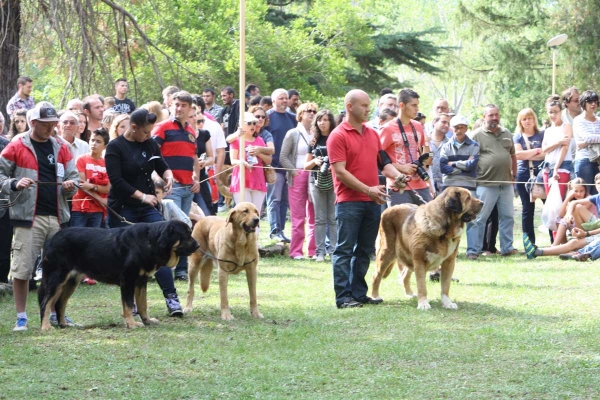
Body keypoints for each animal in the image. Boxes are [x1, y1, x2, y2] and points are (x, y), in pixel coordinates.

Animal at [38, 220, 199, 330]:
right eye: (186, 234)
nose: (198, 245)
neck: (150, 242)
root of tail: (51, 240)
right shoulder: (128, 280)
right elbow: (128, 305)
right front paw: (131, 323)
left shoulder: (141, 281)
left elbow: (142, 305)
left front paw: (146, 321)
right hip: (56, 277)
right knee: (46, 303)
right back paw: (46, 327)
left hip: (71, 281)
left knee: (59, 303)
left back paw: (64, 324)